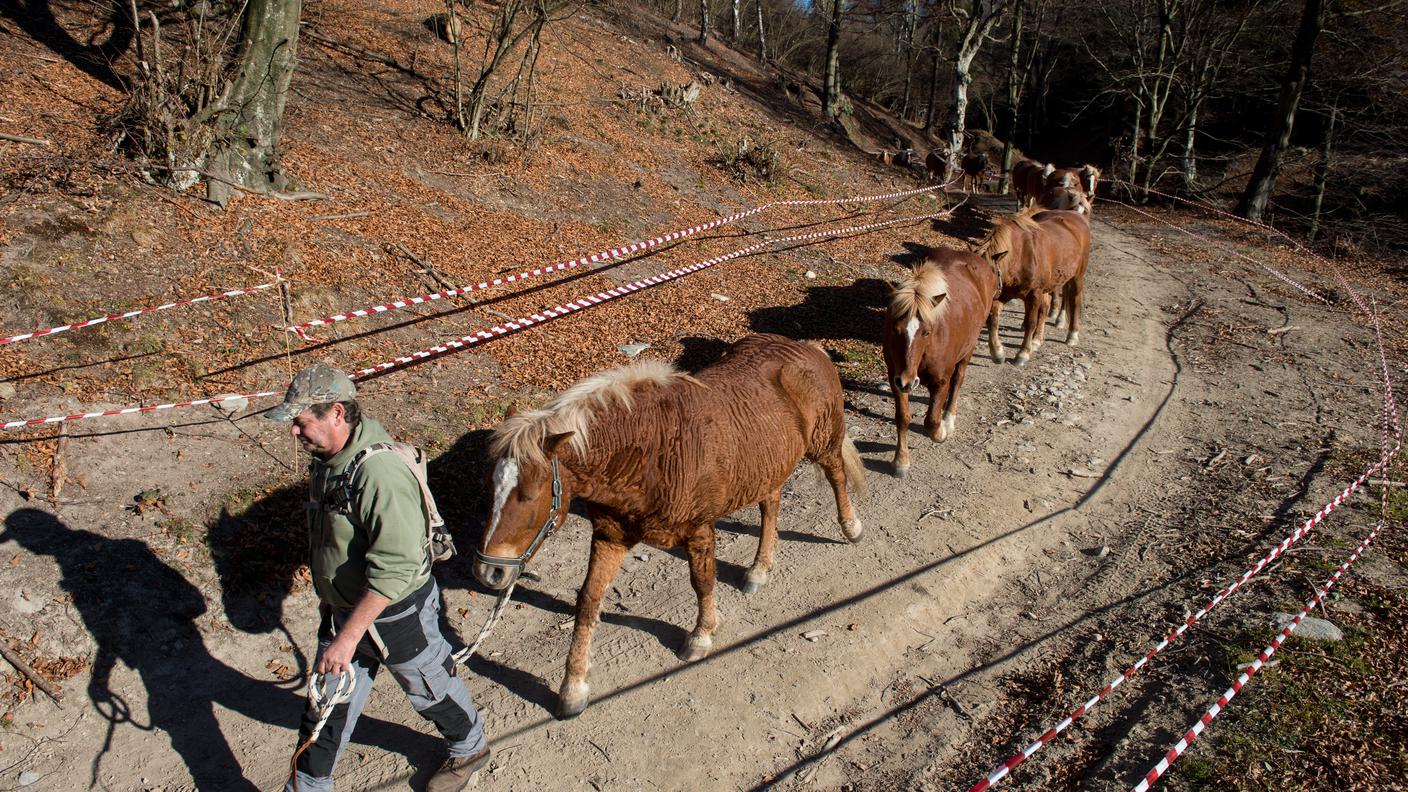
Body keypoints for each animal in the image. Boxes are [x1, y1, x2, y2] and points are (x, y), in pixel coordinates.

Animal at [478, 332, 861, 715]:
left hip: (823, 442)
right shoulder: (609, 537)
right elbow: (588, 601)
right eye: (491, 487)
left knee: (837, 475)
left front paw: (701, 636)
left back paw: (851, 527)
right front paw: (573, 687)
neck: (648, 452)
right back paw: (759, 569)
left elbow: (702, 583)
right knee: (771, 504)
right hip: (768, 465)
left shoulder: (699, 531)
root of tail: (808, 346)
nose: (488, 572)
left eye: (528, 495)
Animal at [884, 243, 996, 473]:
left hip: (967, 350)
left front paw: (942, 431)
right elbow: (902, 418)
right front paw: (901, 459)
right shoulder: (895, 378)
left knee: (958, 381)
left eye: (926, 332)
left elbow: (932, 422)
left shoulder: (940, 381)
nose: (908, 381)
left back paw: (949, 418)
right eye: (894, 329)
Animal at [985, 204, 1092, 363]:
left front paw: (1023, 354)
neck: (1019, 255)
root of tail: (1078, 216)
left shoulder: (1034, 293)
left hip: (1077, 277)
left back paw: (1072, 335)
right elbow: (993, 320)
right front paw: (997, 352)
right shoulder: (1003, 294)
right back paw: (1037, 339)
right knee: (1045, 307)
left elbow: (1031, 322)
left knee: (1075, 301)